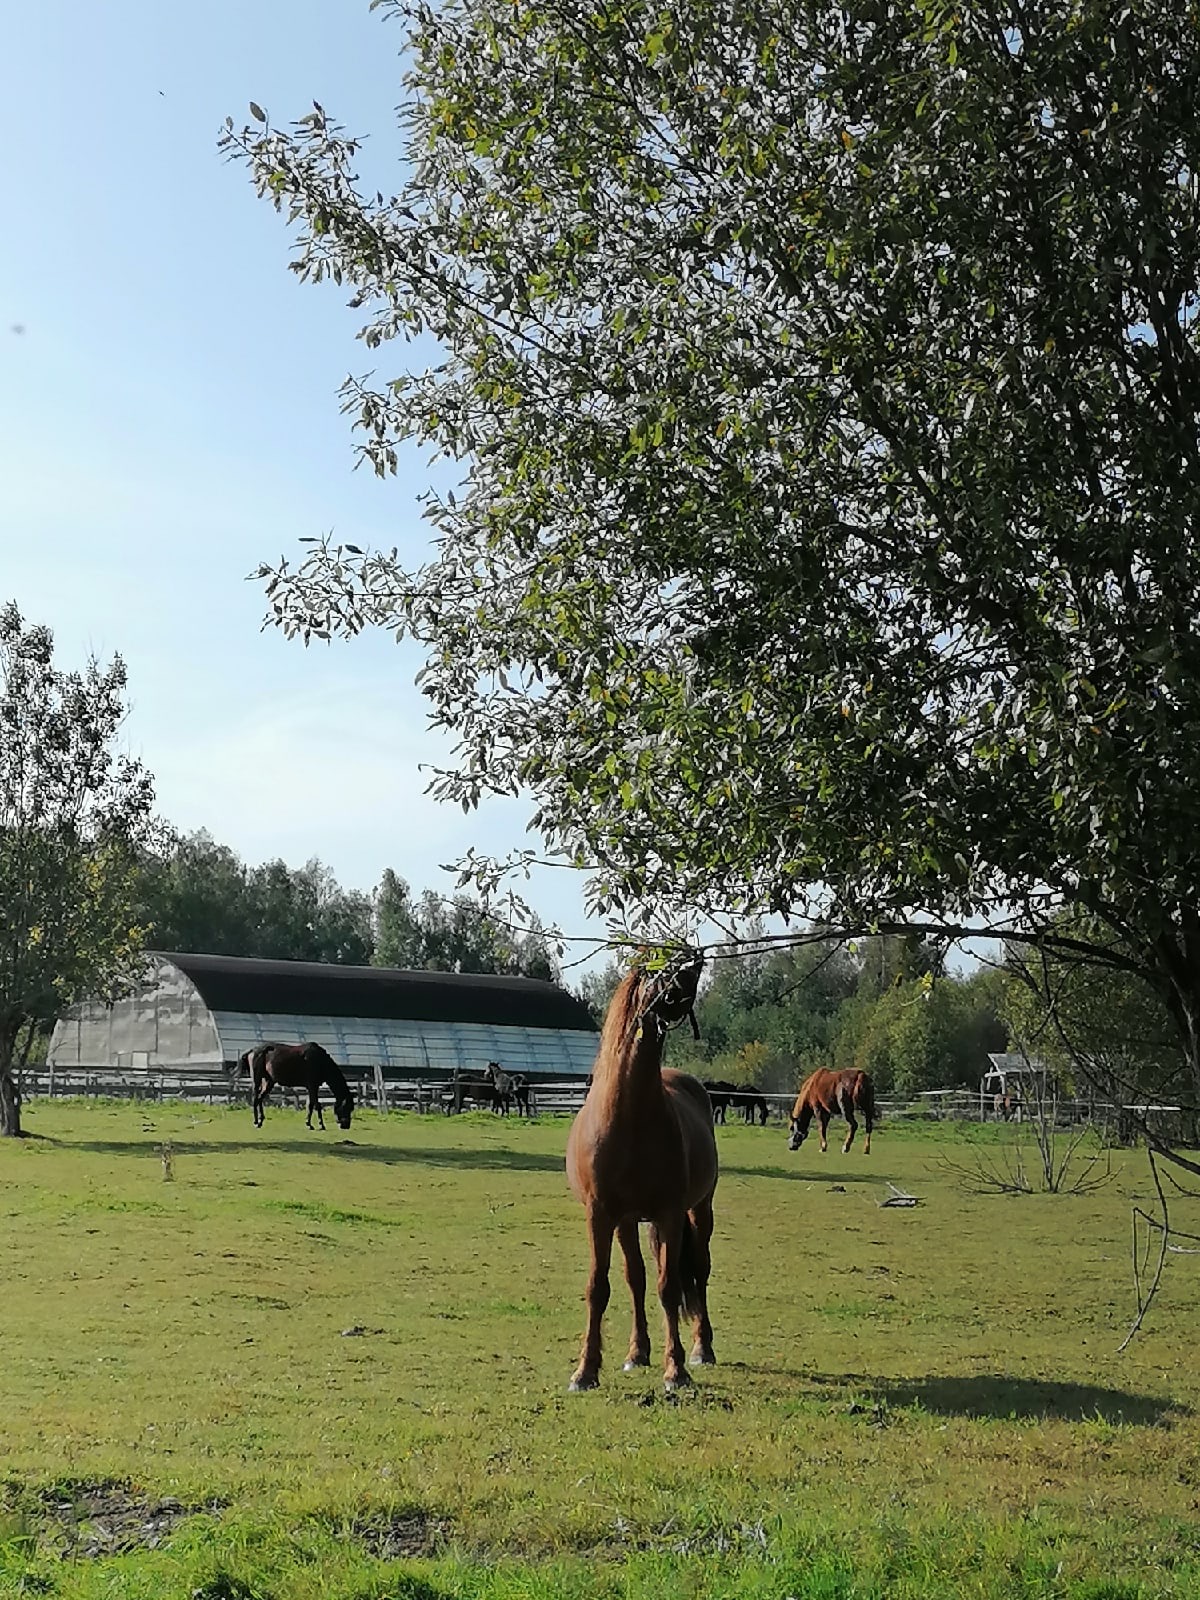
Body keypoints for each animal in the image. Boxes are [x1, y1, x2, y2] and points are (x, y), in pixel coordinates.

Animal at [566, 947, 720, 1388]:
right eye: (658, 968)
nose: (696, 960)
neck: (628, 1116)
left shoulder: (669, 1213)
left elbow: (669, 1287)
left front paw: (677, 1369)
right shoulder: (601, 1214)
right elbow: (599, 1286)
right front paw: (585, 1370)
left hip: (699, 1209)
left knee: (699, 1271)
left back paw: (702, 1348)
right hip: (628, 1221)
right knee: (636, 1279)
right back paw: (638, 1352)